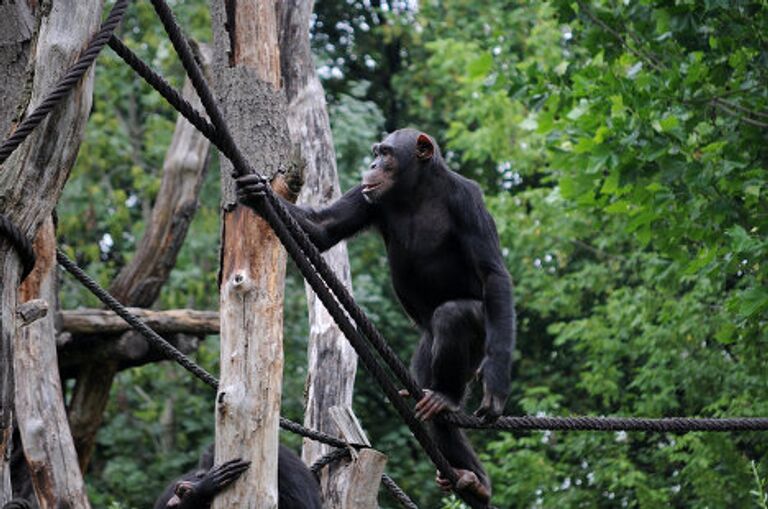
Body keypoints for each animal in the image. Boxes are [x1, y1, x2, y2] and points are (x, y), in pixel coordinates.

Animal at [237, 128, 516, 504]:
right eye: (376, 153)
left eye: (386, 154)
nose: (371, 165)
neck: (418, 190)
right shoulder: (368, 196)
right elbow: (324, 227)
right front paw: (257, 192)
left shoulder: (468, 200)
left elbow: (492, 275)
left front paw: (497, 384)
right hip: (424, 354)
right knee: (433, 410)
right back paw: (469, 476)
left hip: (481, 338)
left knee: (454, 316)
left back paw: (450, 405)